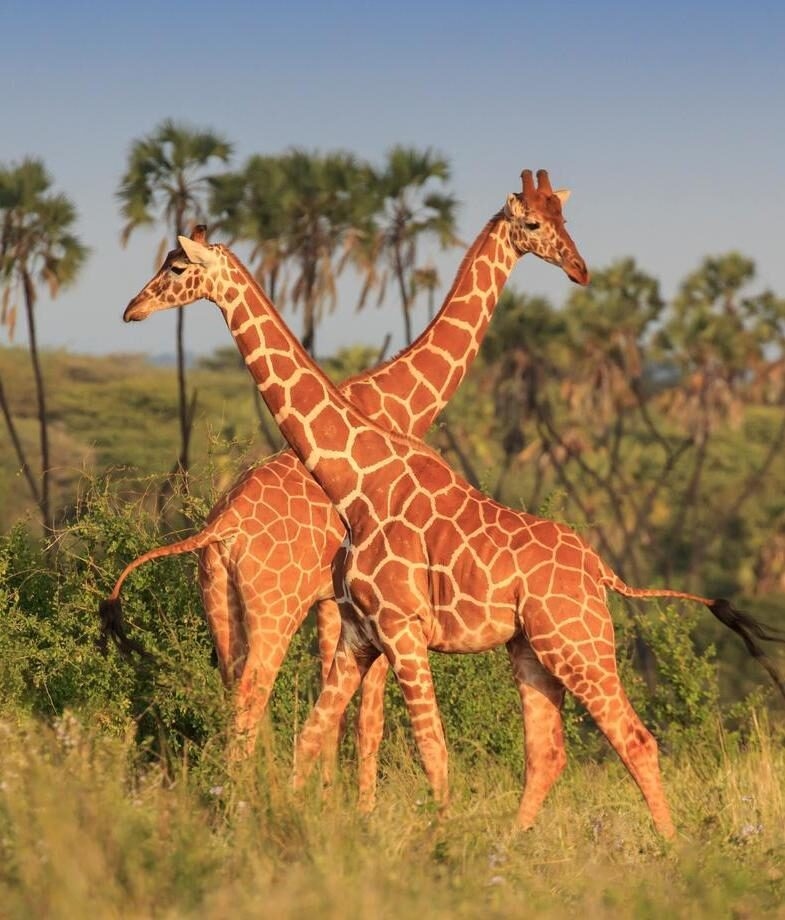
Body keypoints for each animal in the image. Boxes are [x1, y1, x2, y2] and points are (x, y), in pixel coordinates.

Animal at [101, 170, 589, 800]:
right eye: (533, 222)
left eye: (562, 219)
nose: (579, 268)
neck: (396, 404)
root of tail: (220, 528)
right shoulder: (354, 605)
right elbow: (367, 717)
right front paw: (356, 807)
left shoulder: (333, 605)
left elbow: (333, 709)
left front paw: (328, 799)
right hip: (272, 608)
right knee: (250, 700)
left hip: (218, 601)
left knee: (233, 695)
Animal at [117, 222, 785, 838]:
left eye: (176, 266)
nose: (132, 308)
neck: (358, 479)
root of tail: (601, 569)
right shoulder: (361, 631)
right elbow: (318, 733)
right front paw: (300, 821)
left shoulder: (400, 629)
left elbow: (424, 747)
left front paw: (432, 842)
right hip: (529, 649)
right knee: (548, 752)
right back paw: (511, 847)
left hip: (574, 642)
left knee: (635, 739)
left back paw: (669, 853)